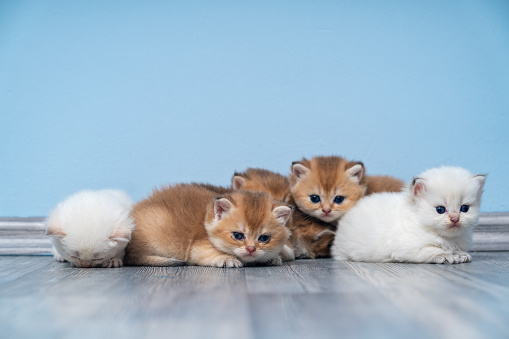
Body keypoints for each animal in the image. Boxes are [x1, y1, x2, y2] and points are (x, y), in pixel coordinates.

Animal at [124, 186, 294, 268]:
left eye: (264, 238)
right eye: (238, 235)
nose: (251, 249)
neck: (208, 216)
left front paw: (274, 257)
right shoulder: (197, 247)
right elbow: (212, 252)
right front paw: (227, 259)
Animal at [332, 167, 486, 266]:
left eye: (464, 209)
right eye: (440, 209)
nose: (455, 219)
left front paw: (460, 254)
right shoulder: (408, 248)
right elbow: (432, 249)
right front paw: (446, 255)